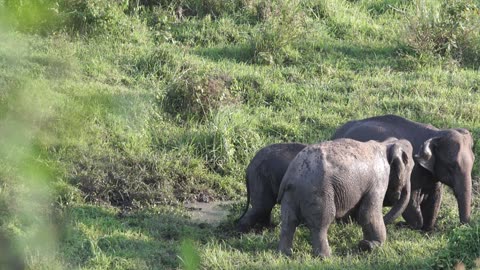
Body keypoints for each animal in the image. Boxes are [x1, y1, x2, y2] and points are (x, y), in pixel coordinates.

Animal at [276, 139, 414, 258]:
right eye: (410, 166)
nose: (398, 194)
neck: (386, 144)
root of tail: (292, 175)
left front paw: (366, 245)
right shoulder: (378, 181)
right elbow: (368, 213)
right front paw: (371, 246)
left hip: (290, 195)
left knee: (289, 221)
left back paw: (285, 253)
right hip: (318, 192)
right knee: (321, 223)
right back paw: (326, 257)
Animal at [332, 115, 474, 231]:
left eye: (473, 162)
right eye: (451, 166)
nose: (462, 226)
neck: (437, 133)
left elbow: (435, 198)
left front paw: (427, 230)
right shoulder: (412, 170)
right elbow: (411, 201)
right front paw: (409, 226)